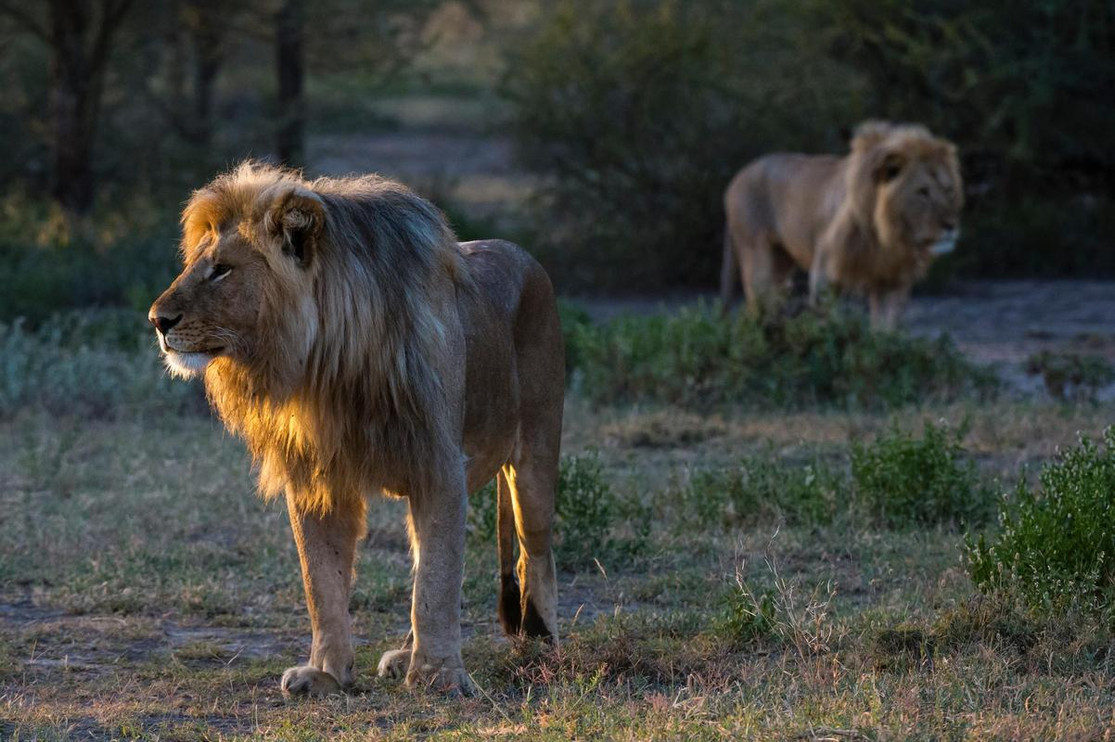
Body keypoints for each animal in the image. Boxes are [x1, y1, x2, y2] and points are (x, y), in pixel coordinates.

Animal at [149, 160, 566, 696]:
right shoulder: (314, 477)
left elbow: (437, 582)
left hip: (535, 451)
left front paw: (438, 676)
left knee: (534, 550)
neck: (327, 364)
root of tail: (524, 255)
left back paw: (541, 644)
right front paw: (326, 672)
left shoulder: (439, 465)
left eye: (222, 268)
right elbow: (323, 581)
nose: (158, 320)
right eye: (195, 263)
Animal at [718, 121, 963, 328]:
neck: (887, 237)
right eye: (923, 192)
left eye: (949, 190)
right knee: (756, 308)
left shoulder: (891, 280)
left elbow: (885, 329)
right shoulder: (825, 276)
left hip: (781, 262)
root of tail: (736, 178)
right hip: (757, 258)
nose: (951, 225)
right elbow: (828, 323)